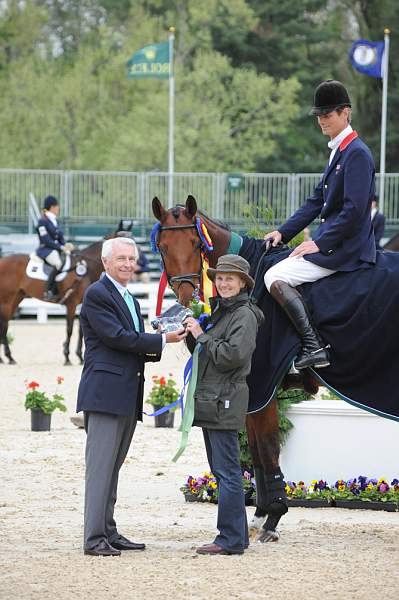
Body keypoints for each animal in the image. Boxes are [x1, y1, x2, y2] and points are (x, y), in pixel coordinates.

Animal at [152, 195, 318, 540]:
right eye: (162, 246)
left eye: (195, 243)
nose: (187, 299)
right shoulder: (252, 394)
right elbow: (255, 453)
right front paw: (260, 514)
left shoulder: (263, 389)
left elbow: (266, 449)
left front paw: (273, 518)